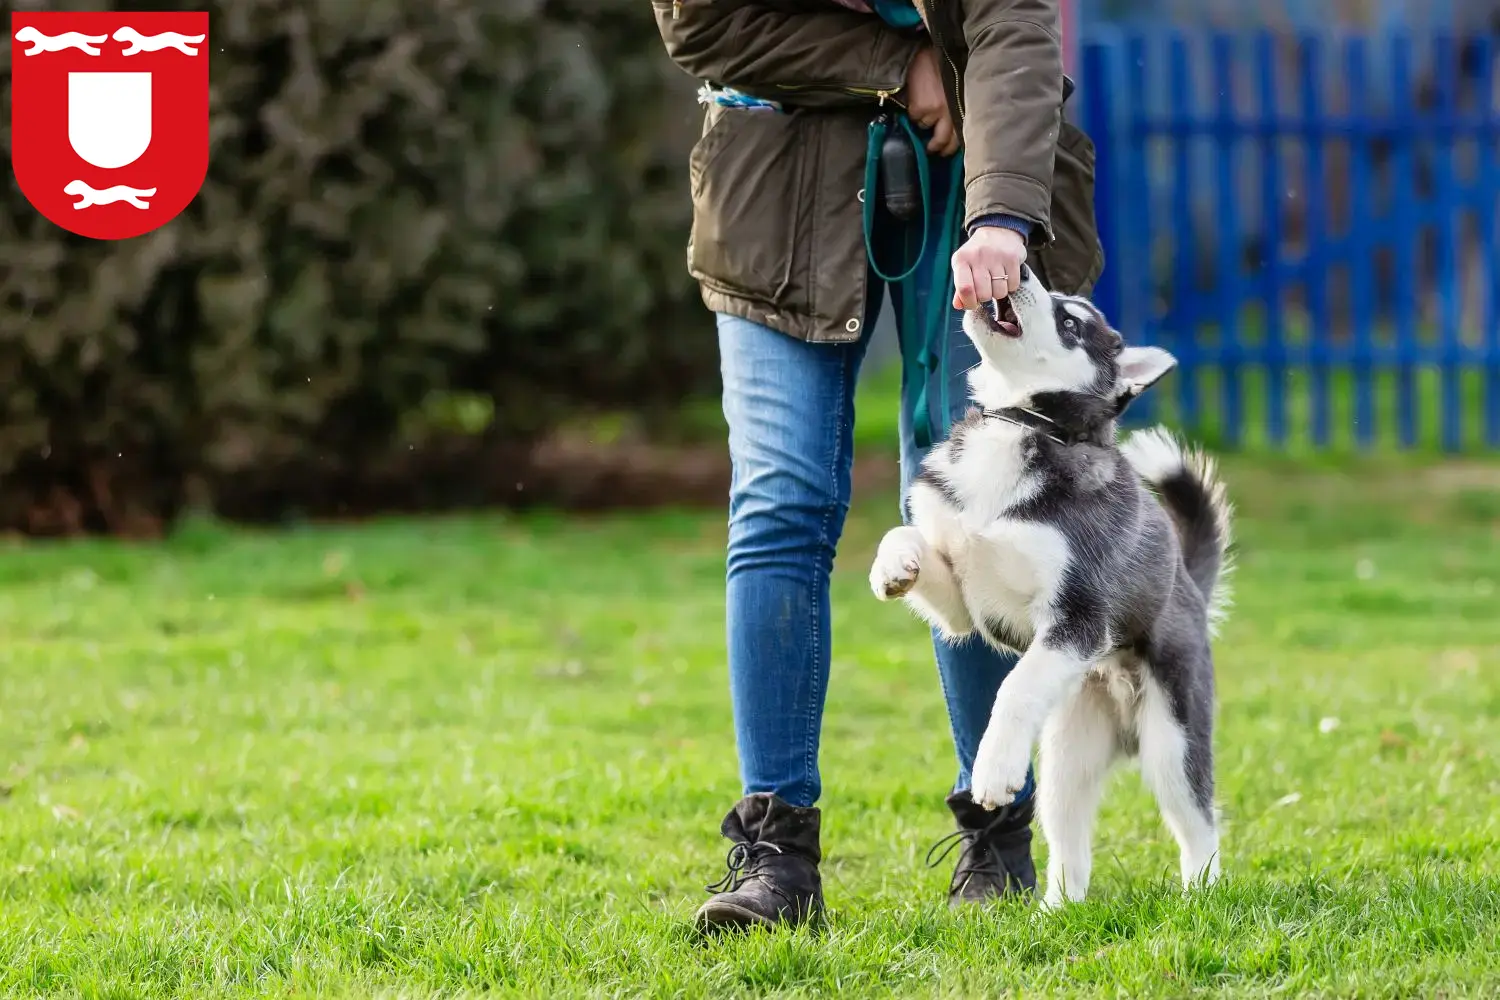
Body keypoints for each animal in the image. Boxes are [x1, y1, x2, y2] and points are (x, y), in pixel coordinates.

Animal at [870, 263, 1230, 905]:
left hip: (1173, 741)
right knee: (1070, 842)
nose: (1016, 267)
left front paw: (993, 771)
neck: (1019, 425)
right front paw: (894, 566)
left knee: (1199, 824)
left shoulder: (1079, 618)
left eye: (1070, 322)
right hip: (1068, 756)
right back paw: (1057, 910)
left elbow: (1014, 689)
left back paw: (1202, 897)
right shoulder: (963, 603)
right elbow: (906, 533)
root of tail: (1187, 583)